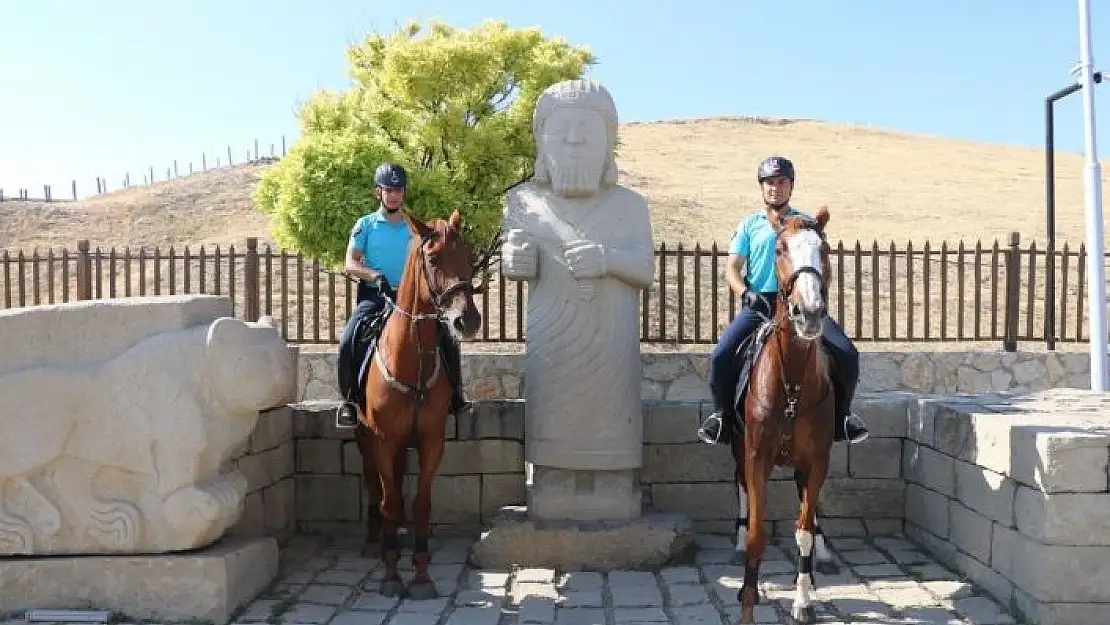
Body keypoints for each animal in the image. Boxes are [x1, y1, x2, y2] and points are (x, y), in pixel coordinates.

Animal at [352, 208, 479, 599]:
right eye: (434, 259)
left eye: (469, 256)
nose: (468, 320)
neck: (411, 358)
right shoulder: (382, 440)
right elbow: (390, 500)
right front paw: (392, 575)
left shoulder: (430, 441)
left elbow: (421, 503)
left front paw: (421, 574)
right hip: (364, 438)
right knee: (375, 485)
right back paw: (375, 541)